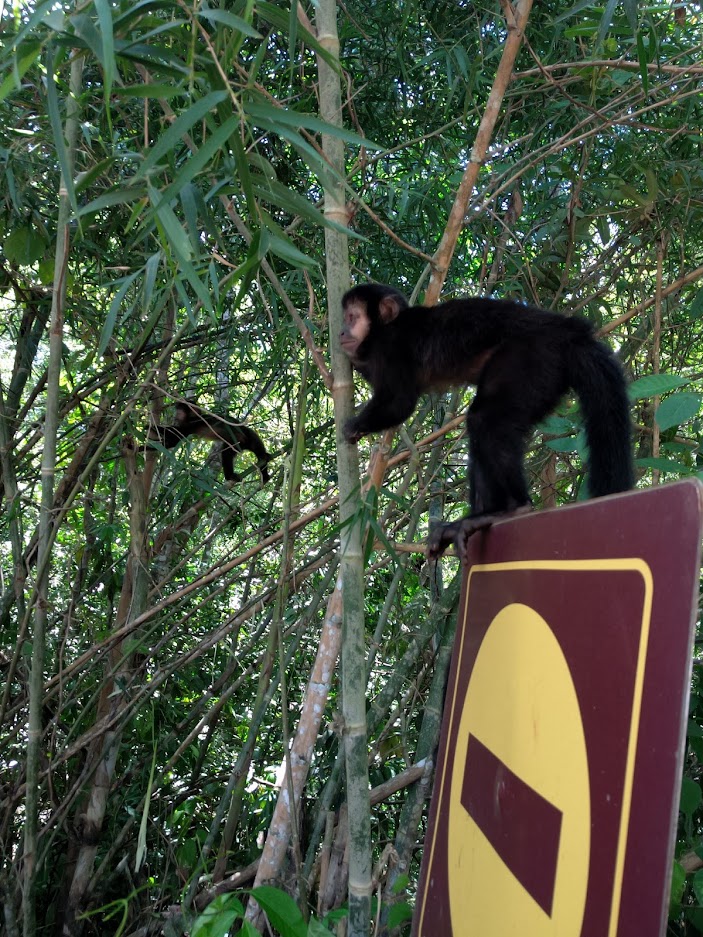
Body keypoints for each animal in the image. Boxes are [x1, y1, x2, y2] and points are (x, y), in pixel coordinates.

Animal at [338, 282, 636, 560]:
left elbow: (399, 403)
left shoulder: (393, 347)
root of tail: (571, 332)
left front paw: (354, 426)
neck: (384, 331)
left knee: (486, 420)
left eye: (352, 317)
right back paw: (476, 518)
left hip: (535, 357)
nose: (341, 332)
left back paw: (514, 507)